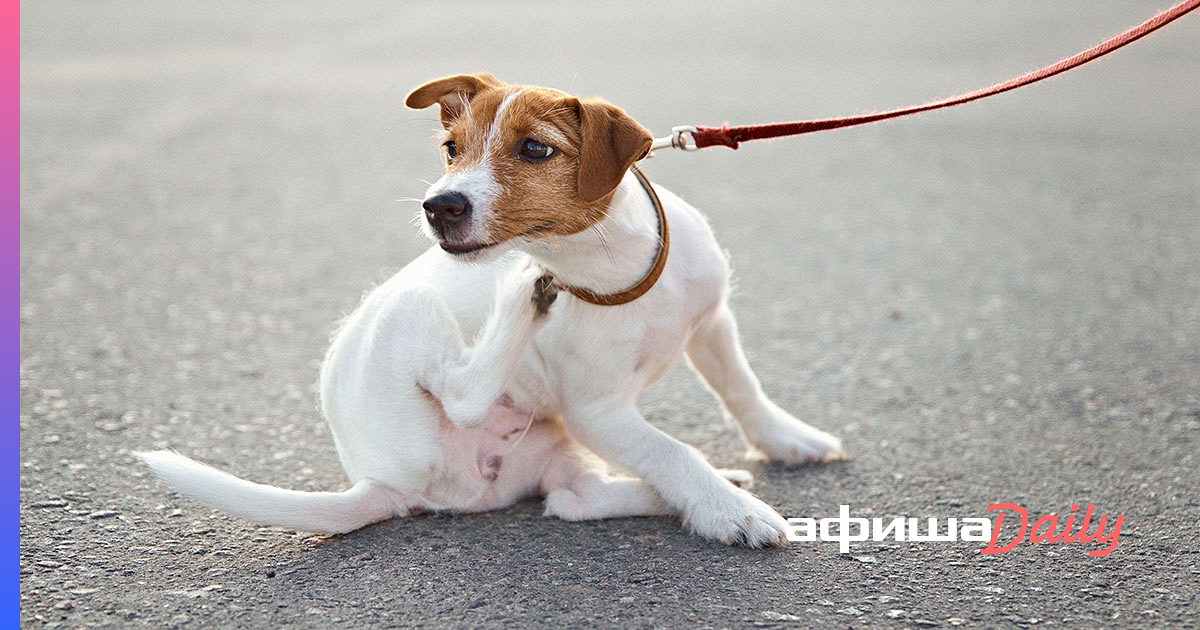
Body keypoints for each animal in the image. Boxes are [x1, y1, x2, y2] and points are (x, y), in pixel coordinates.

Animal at [140, 73, 844, 544]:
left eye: (535, 149)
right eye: (451, 148)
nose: (439, 205)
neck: (611, 272)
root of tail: (377, 480)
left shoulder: (711, 323)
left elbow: (742, 391)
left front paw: (786, 443)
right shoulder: (598, 412)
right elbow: (674, 452)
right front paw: (731, 514)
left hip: (555, 450)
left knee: (572, 500)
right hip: (410, 310)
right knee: (463, 395)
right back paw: (521, 297)